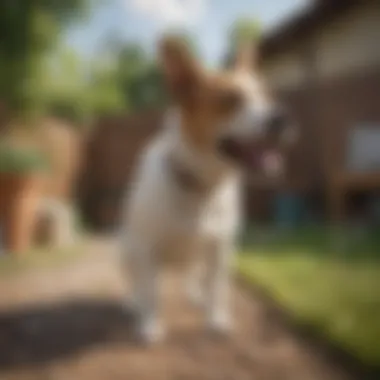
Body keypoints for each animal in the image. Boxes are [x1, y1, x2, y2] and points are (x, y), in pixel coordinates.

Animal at [121, 36, 294, 344]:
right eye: (230, 99)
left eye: (266, 97)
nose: (281, 118)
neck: (200, 184)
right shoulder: (145, 247)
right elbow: (150, 291)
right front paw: (150, 323)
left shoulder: (220, 247)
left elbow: (218, 287)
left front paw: (216, 319)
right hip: (125, 251)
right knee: (138, 282)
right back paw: (135, 304)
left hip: (201, 252)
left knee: (196, 275)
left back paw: (196, 295)